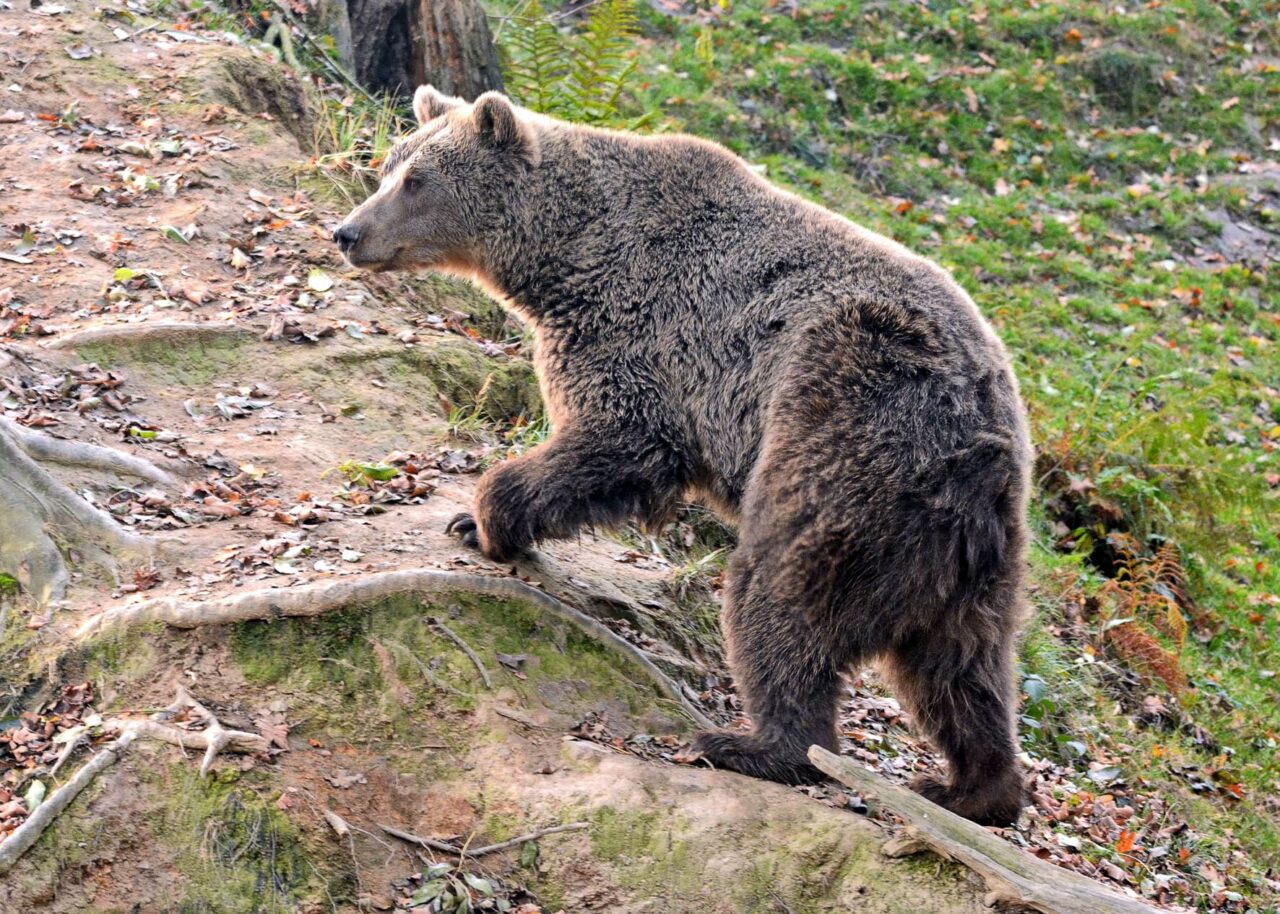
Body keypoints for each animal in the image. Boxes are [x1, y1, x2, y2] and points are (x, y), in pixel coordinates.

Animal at [335, 87, 1034, 824]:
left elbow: (618, 442)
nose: (347, 232)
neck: (566, 254)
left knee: (780, 595)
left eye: (417, 180)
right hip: (971, 555)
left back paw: (751, 744)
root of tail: (978, 439)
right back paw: (972, 789)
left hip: (846, 443)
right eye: (389, 165)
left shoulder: (642, 332)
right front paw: (475, 521)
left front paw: (483, 520)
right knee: (964, 667)